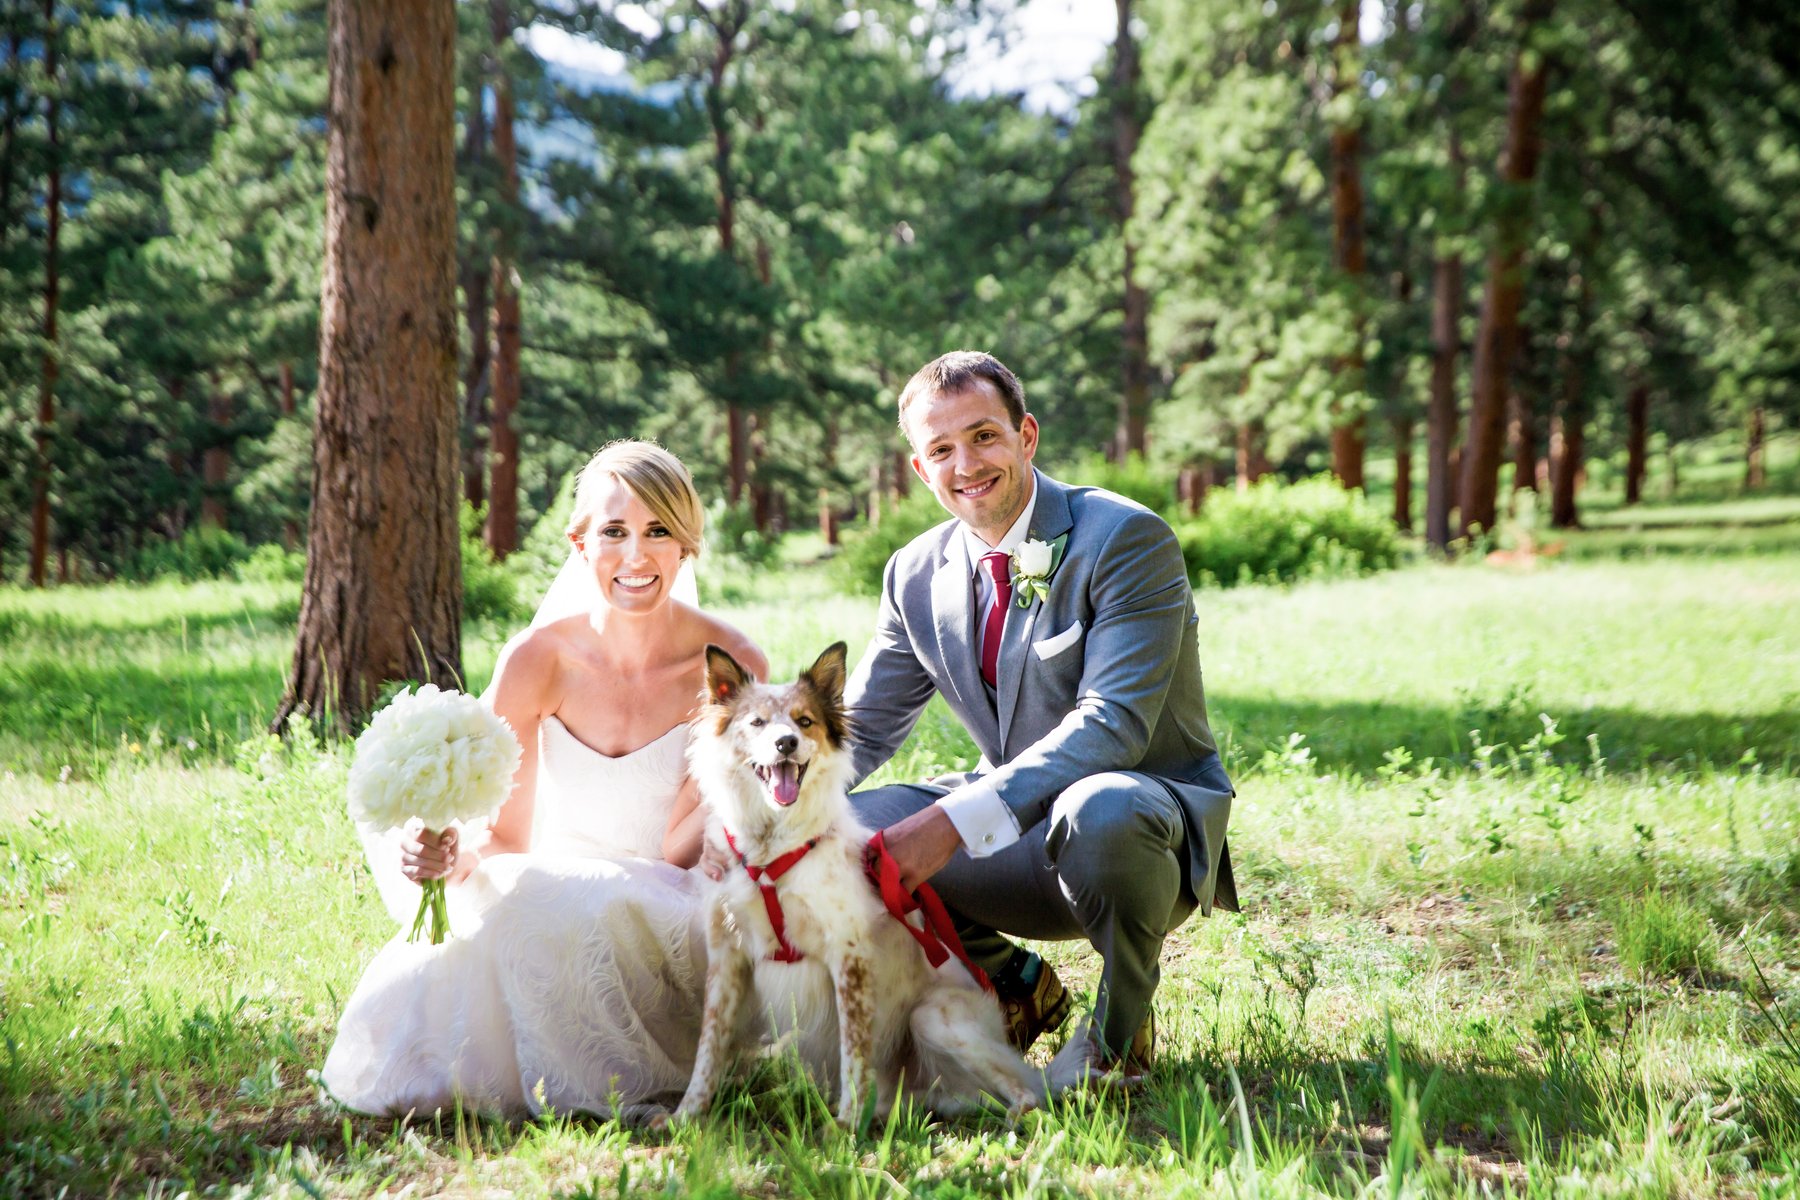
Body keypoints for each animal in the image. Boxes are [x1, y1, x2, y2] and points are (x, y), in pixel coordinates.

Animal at [674, 642, 1041, 1126]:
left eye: (804, 721)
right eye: (756, 722)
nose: (785, 743)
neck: (771, 851)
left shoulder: (848, 957)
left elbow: (854, 1051)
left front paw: (846, 1126)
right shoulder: (727, 960)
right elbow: (708, 1046)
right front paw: (685, 1115)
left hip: (933, 1017)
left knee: (1030, 1092)